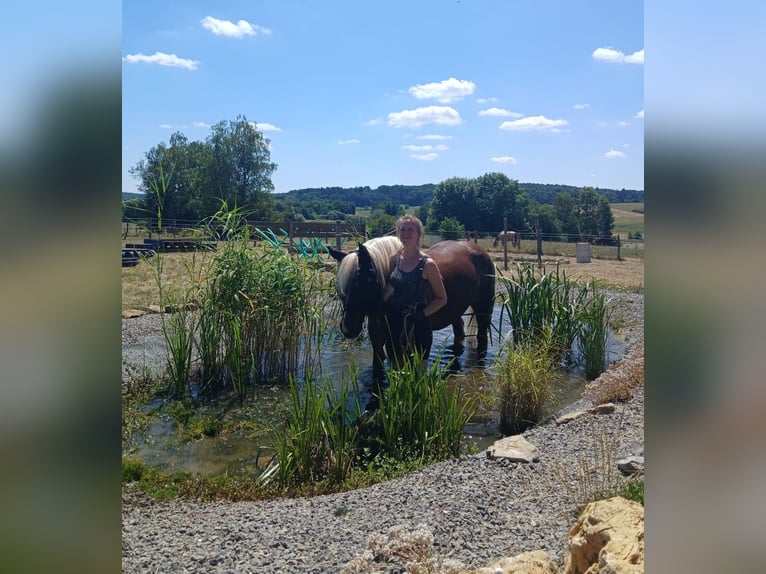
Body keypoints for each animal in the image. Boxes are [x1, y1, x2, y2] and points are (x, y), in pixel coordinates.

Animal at [327, 236, 496, 380]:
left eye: (364, 281)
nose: (347, 327)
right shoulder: (379, 336)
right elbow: (378, 367)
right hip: (455, 310)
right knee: (459, 330)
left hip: (484, 308)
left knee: (482, 337)